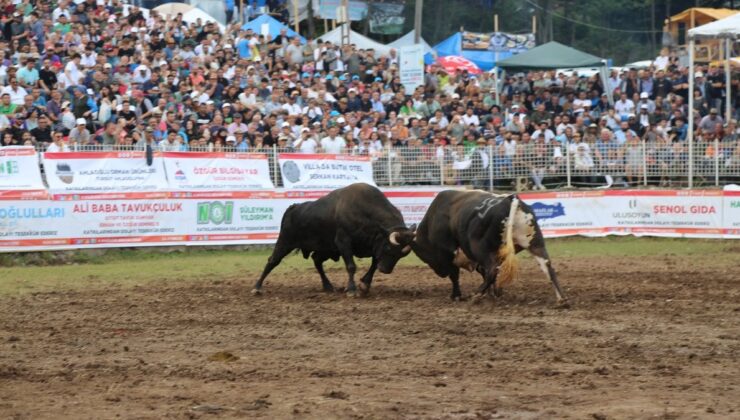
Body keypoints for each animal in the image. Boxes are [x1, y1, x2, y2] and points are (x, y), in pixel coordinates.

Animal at [251, 183, 416, 296]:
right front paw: (351, 289)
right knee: (272, 261)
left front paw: (364, 285)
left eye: (401, 255)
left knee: (316, 260)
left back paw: (328, 286)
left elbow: (374, 264)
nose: (386, 270)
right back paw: (257, 287)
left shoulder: (375, 247)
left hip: (325, 249)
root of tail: (294, 207)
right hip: (285, 242)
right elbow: (351, 266)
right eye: (389, 248)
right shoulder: (343, 242)